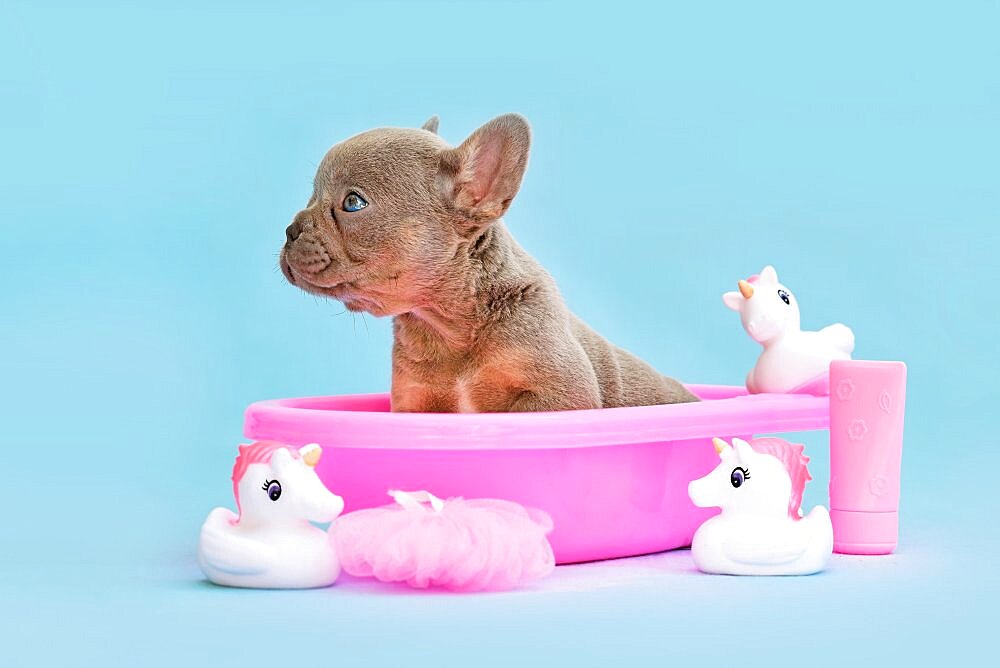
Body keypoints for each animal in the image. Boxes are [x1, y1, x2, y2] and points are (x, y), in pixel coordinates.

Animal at [284, 113, 696, 412]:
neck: (445, 324)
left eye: (353, 203)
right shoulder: (415, 403)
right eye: (310, 196)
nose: (290, 230)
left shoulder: (559, 394)